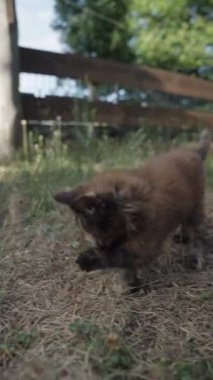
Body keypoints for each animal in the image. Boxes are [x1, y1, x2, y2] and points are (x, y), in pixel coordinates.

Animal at [54, 130, 211, 290]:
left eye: (100, 238)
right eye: (99, 241)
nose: (99, 246)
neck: (129, 207)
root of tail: (193, 151)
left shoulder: (146, 245)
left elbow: (119, 257)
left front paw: (88, 259)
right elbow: (126, 266)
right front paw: (132, 285)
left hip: (195, 208)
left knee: (196, 235)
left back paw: (196, 258)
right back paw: (182, 237)